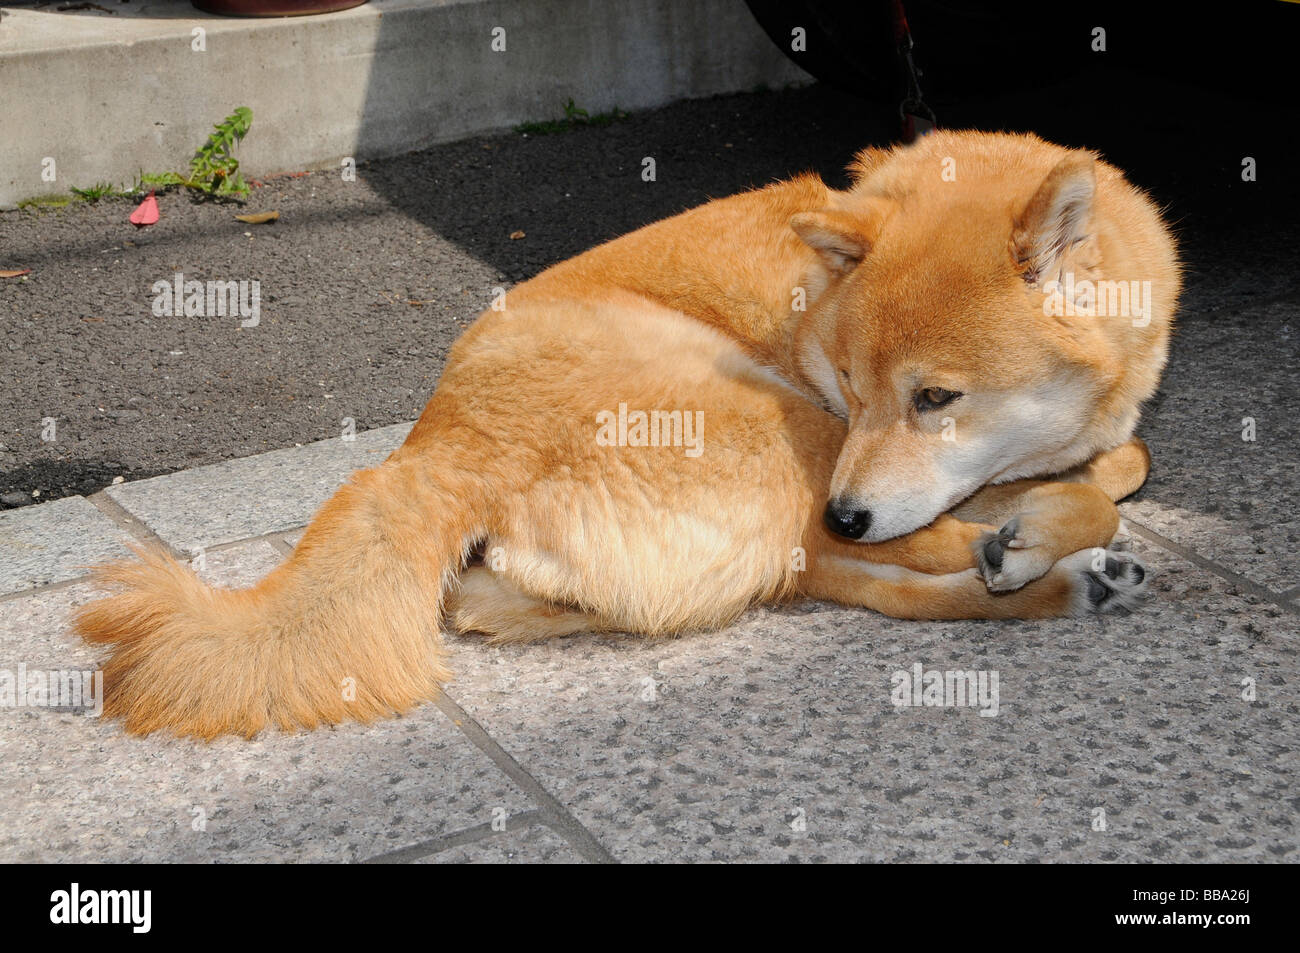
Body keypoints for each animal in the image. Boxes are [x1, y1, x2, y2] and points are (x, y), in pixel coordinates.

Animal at [76, 128, 1185, 738]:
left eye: (934, 398)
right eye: (852, 384)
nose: (852, 506)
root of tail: (435, 453)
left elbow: (1127, 457)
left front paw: (1052, 499)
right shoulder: (830, 427)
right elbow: (1098, 481)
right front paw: (1032, 522)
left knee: (826, 574)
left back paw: (1052, 575)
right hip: (768, 421)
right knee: (826, 563)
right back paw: (1037, 561)